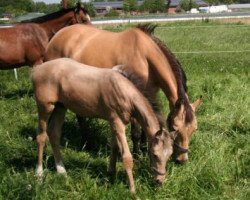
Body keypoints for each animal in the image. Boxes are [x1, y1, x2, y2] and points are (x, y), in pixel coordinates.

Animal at [32, 58, 175, 193]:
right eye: (155, 155)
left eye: (169, 155)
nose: (160, 181)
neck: (124, 91)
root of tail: (37, 70)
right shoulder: (118, 123)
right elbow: (127, 157)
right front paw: (132, 190)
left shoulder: (113, 122)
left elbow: (114, 147)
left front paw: (111, 173)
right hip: (45, 107)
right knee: (41, 137)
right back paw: (39, 175)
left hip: (60, 107)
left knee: (54, 134)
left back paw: (62, 171)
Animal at [45, 23, 201, 164]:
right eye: (174, 128)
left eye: (194, 129)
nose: (182, 160)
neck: (145, 56)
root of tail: (56, 36)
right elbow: (136, 132)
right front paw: (137, 156)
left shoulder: (150, 94)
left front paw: (145, 150)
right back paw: (86, 143)